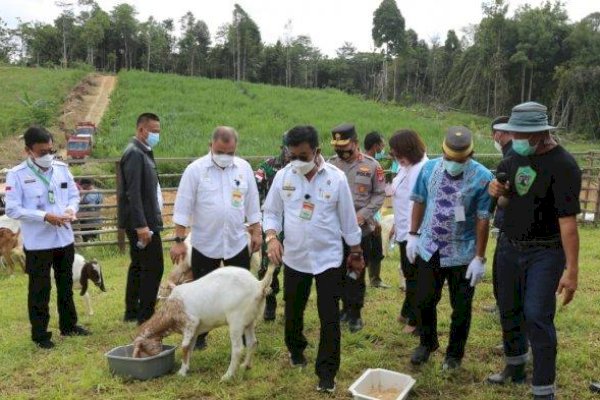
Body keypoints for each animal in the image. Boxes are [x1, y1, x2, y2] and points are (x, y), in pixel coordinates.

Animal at [134, 262, 276, 382]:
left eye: (142, 348)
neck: (170, 310)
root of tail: (259, 285)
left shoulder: (191, 322)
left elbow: (184, 347)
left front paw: (180, 373)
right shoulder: (194, 331)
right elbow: (189, 348)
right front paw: (185, 368)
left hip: (236, 320)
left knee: (238, 349)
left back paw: (227, 376)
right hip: (249, 320)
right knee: (253, 342)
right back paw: (245, 366)